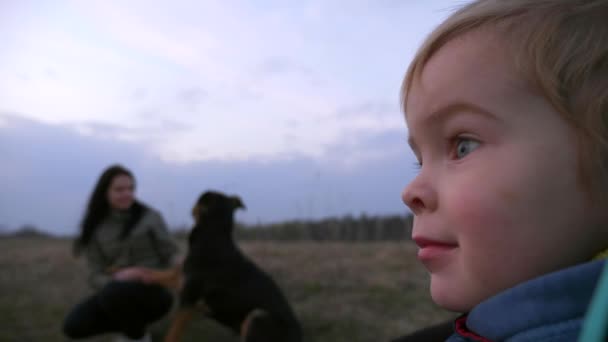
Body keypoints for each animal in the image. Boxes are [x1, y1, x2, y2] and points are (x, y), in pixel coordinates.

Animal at [148, 191, 300, 340]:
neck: (214, 235)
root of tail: (299, 335)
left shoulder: (188, 300)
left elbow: (172, 334)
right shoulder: (179, 277)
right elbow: (152, 273)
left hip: (257, 316)